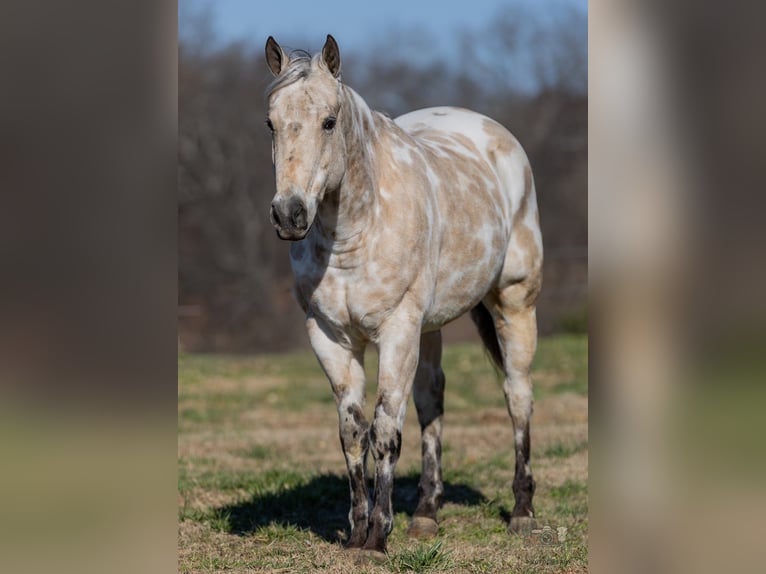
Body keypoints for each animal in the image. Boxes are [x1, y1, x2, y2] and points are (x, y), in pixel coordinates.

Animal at [264, 35, 543, 560]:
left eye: (329, 121)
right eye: (270, 122)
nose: (290, 214)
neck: (355, 232)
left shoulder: (396, 331)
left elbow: (385, 431)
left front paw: (378, 537)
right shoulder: (330, 337)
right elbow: (352, 431)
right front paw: (356, 533)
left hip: (514, 303)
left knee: (518, 397)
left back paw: (522, 513)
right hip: (429, 327)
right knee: (432, 400)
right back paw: (426, 514)